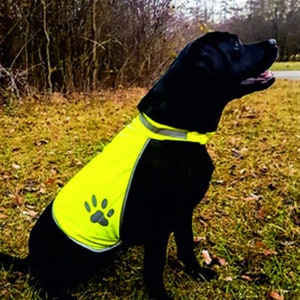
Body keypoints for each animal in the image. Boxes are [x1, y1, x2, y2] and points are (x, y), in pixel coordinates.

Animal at [0, 31, 278, 300]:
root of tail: (30, 259)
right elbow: (154, 268)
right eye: (235, 44)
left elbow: (187, 247)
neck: (178, 132)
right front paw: (161, 296)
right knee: (41, 284)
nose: (274, 41)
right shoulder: (159, 224)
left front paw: (196, 272)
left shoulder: (183, 212)